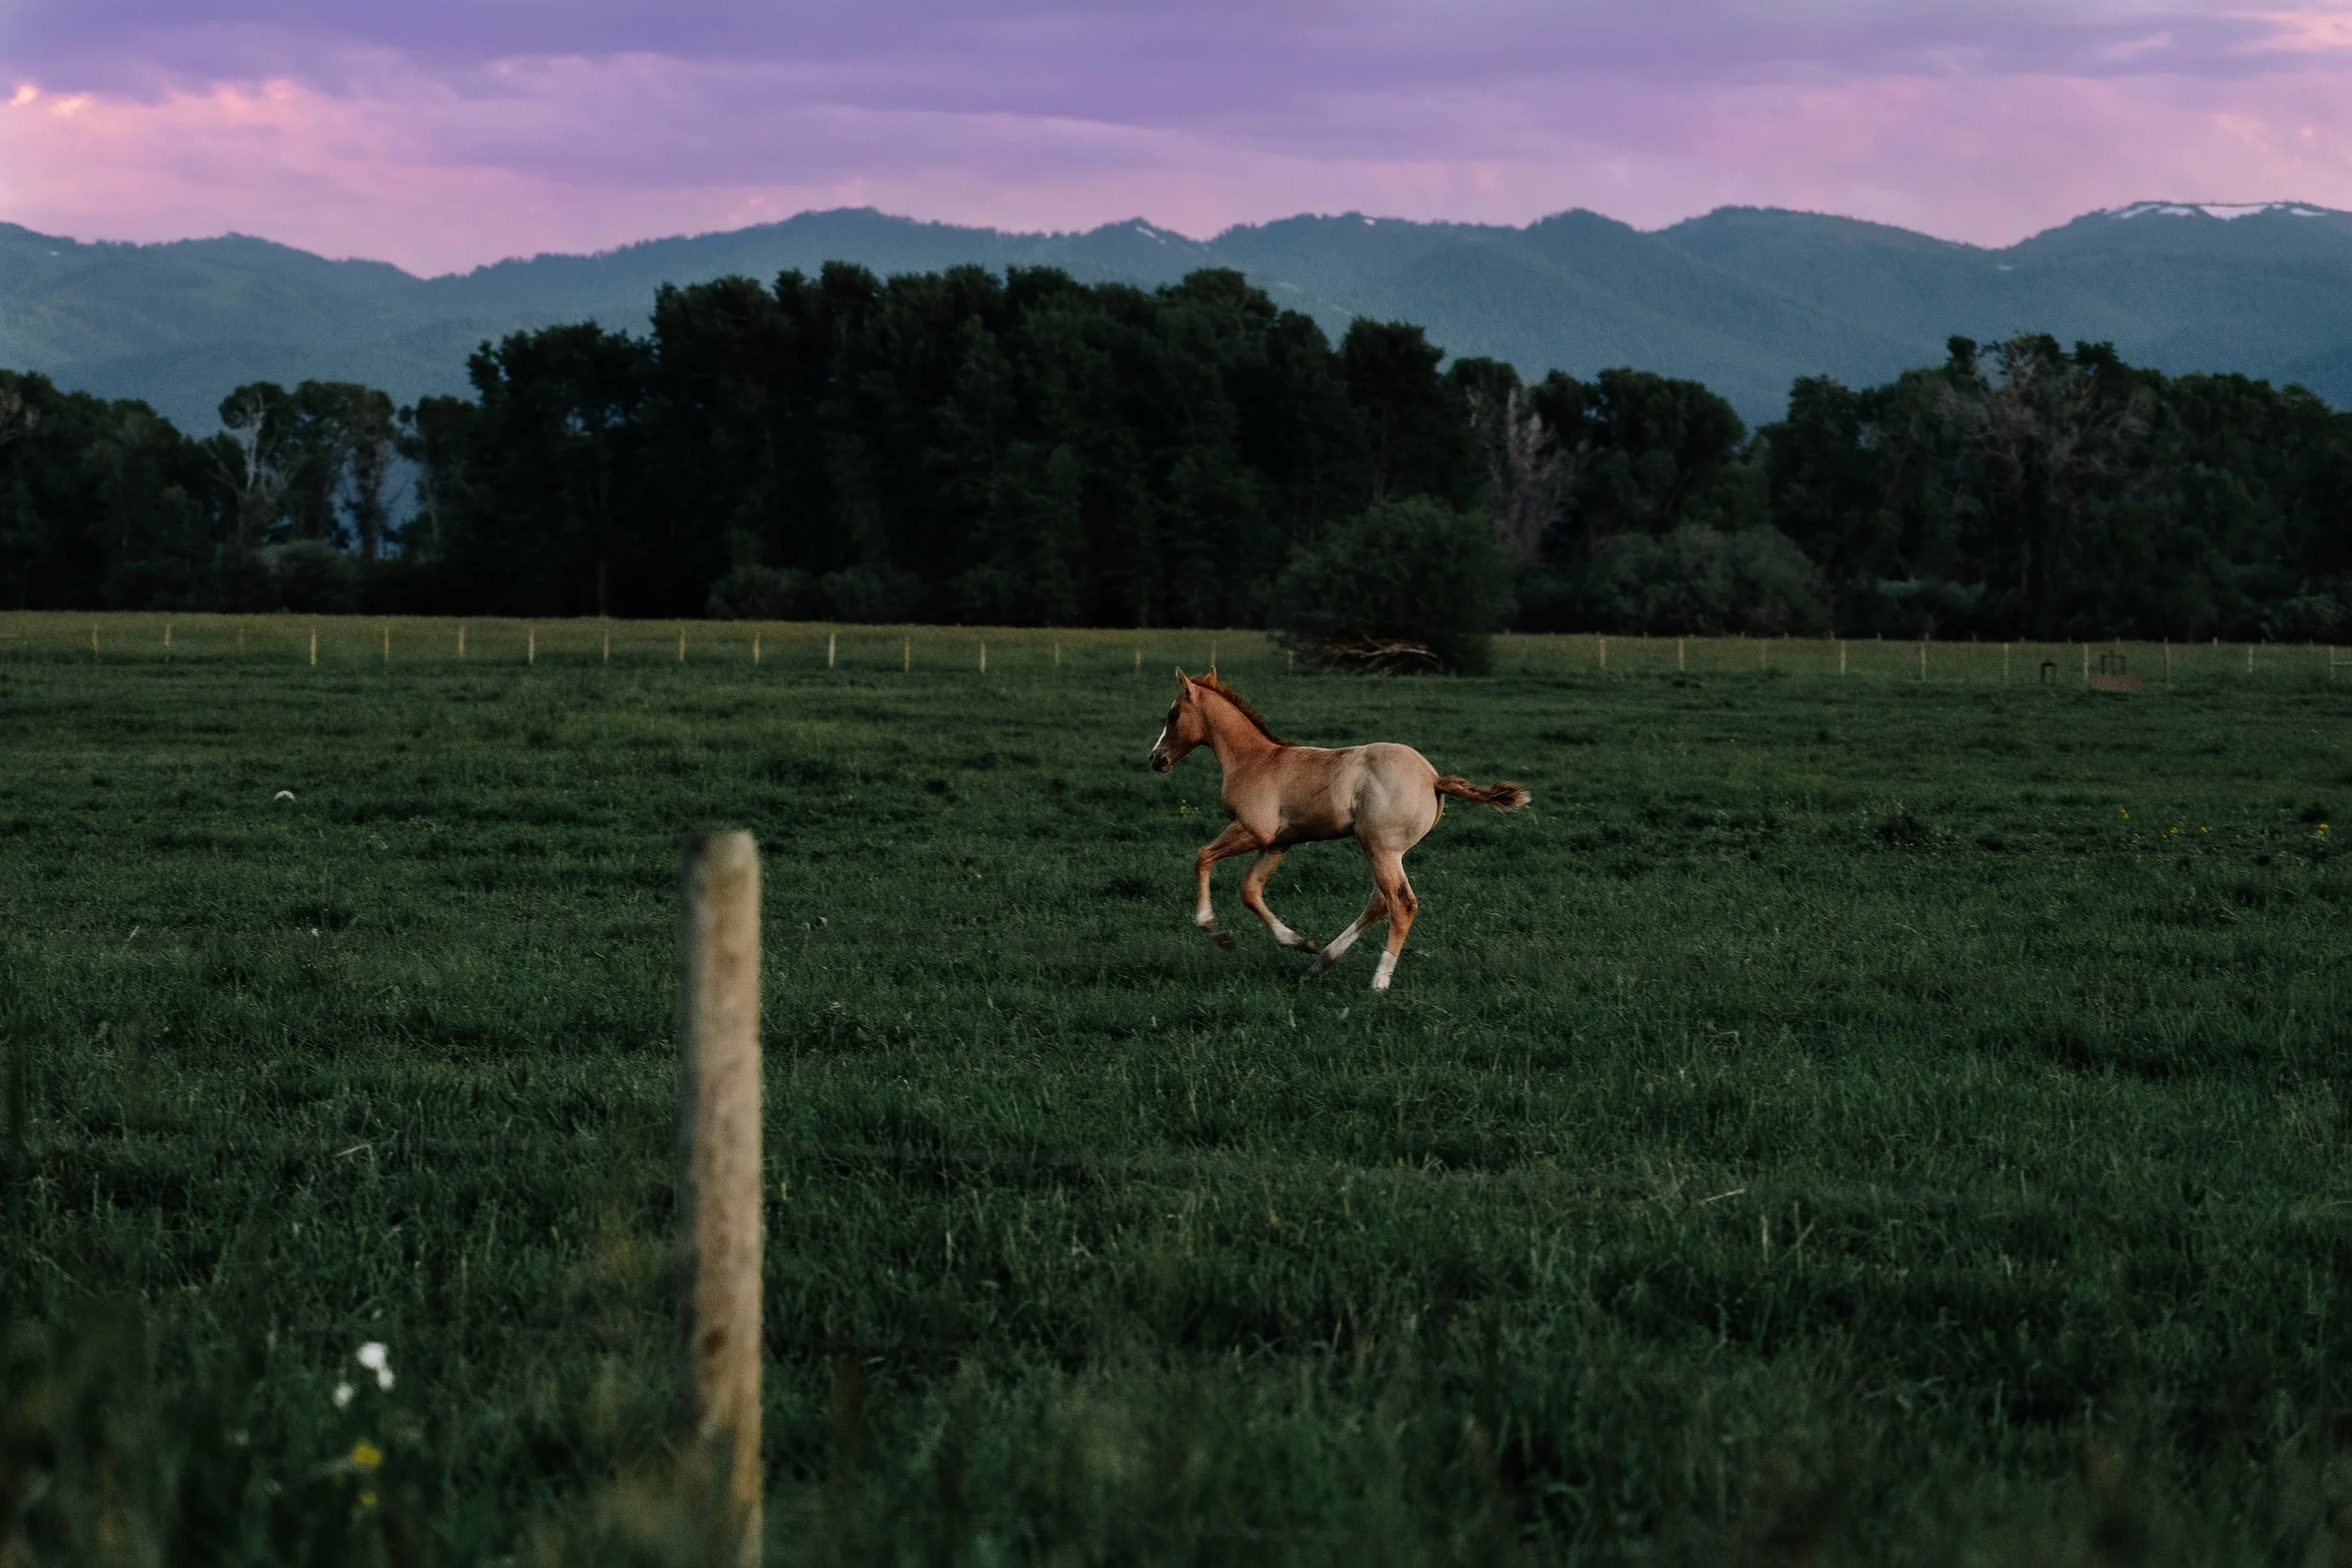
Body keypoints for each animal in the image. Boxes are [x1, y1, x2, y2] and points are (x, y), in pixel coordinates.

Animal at [1146, 667, 1529, 990]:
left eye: (1172, 714)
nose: (1154, 759)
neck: (1254, 760)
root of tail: (1433, 779)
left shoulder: (1253, 832)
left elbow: (1202, 858)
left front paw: (1215, 932)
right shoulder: (1278, 843)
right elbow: (1250, 891)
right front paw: (1298, 942)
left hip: (1380, 848)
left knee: (1401, 903)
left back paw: (1379, 982)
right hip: (1388, 852)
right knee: (1380, 902)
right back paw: (1321, 963)